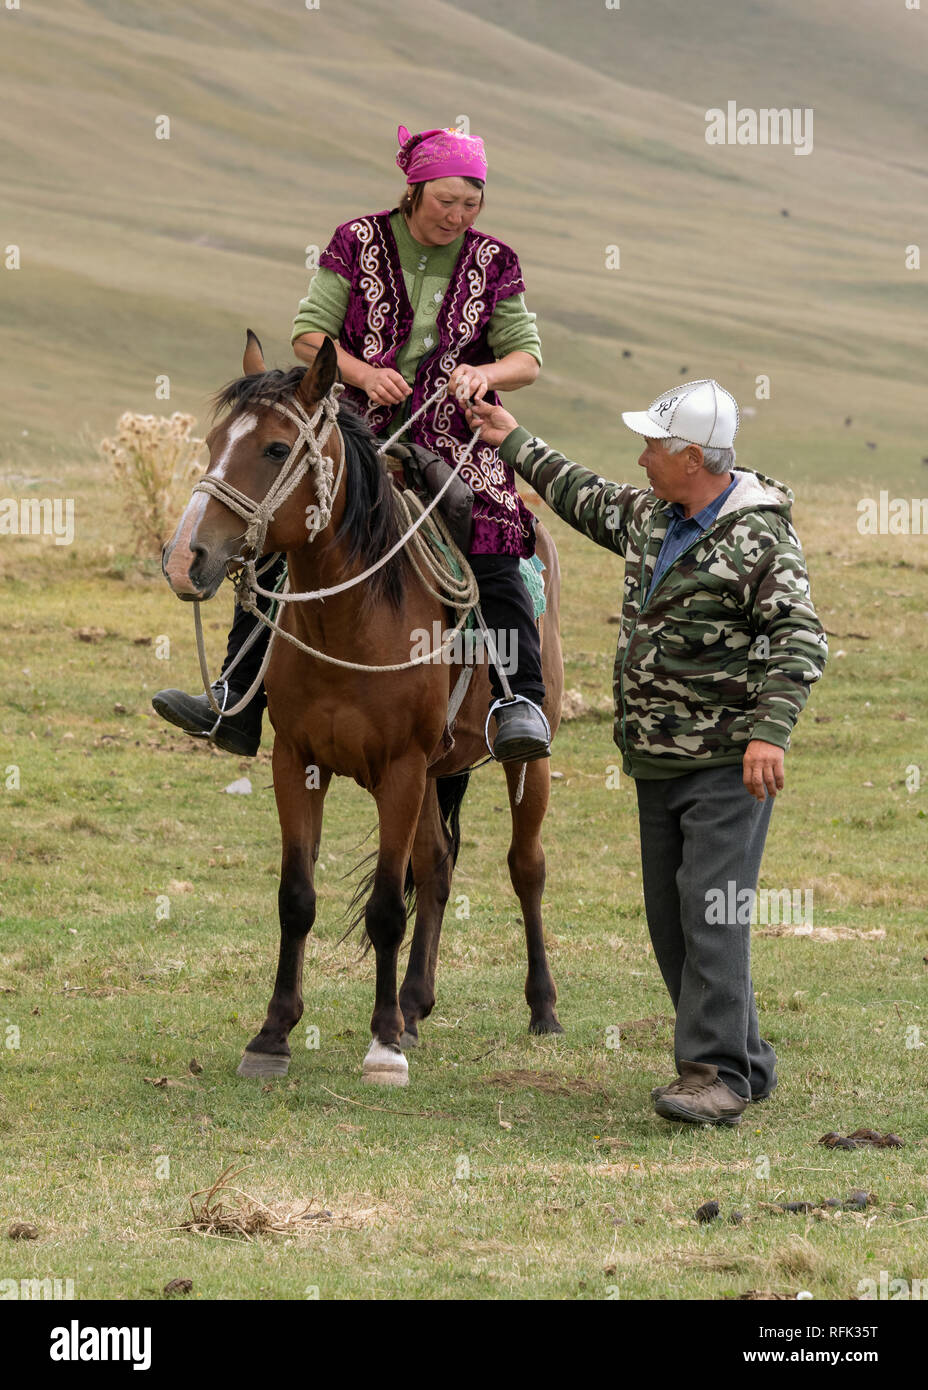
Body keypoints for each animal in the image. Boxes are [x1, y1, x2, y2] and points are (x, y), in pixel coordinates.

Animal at [162, 333, 561, 1084]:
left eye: (276, 449)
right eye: (212, 442)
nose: (183, 559)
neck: (349, 617)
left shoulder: (400, 769)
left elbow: (382, 910)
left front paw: (382, 1047)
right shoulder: (298, 761)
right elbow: (297, 899)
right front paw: (272, 1036)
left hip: (524, 766)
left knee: (526, 869)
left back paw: (541, 1009)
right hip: (436, 771)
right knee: (435, 869)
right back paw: (415, 1005)